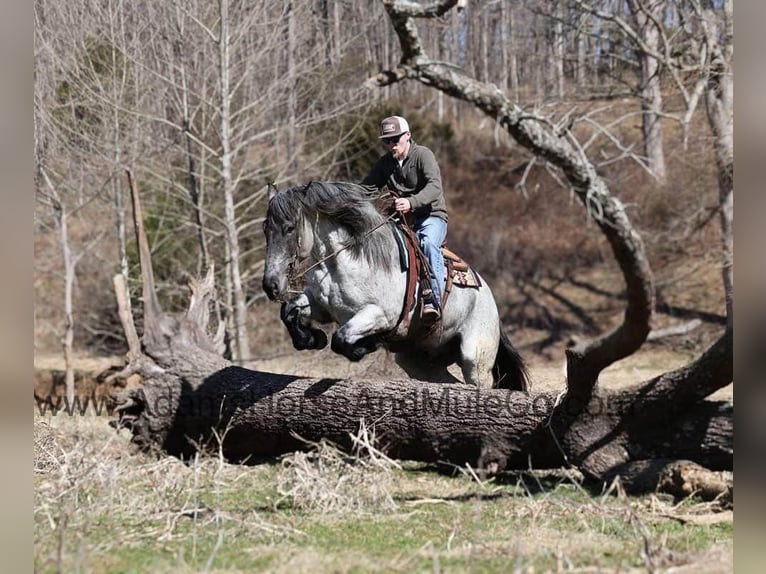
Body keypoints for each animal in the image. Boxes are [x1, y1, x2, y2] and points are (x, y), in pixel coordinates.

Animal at [261, 181, 529, 391]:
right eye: (265, 229)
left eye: (289, 228)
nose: (270, 285)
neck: (346, 259)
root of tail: (489, 297)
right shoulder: (320, 306)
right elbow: (289, 311)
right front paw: (311, 338)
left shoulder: (380, 314)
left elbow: (341, 338)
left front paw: (367, 345)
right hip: (420, 364)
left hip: (475, 359)